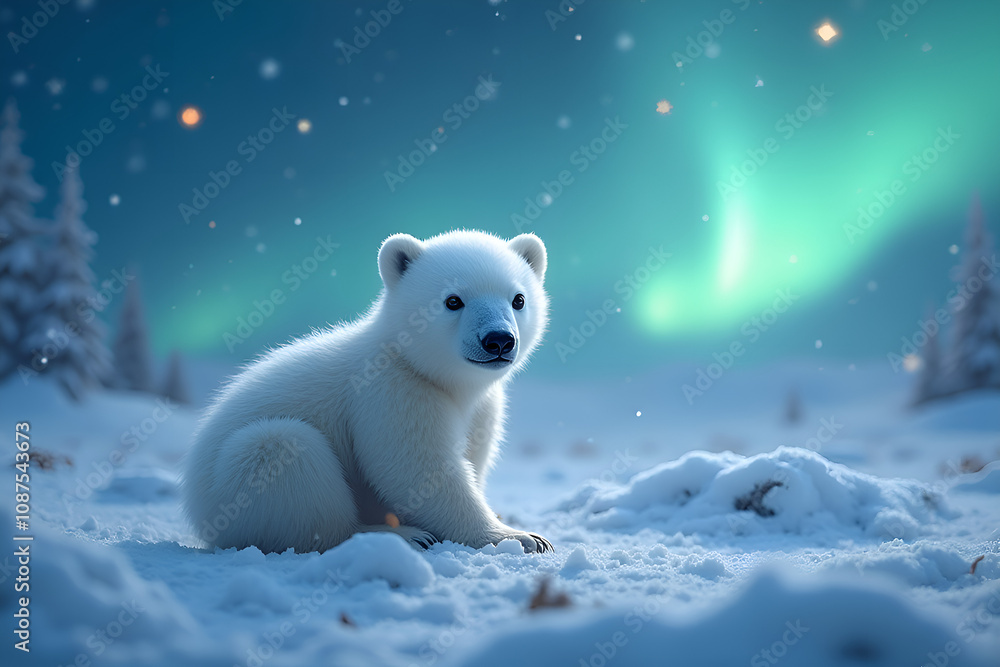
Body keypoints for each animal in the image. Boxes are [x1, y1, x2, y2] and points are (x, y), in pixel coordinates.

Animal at [182, 230, 552, 554]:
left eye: (518, 299)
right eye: (453, 300)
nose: (499, 340)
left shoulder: (482, 408)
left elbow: (471, 453)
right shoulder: (390, 392)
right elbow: (420, 468)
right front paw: (520, 537)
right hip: (235, 484)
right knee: (285, 454)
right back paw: (399, 535)